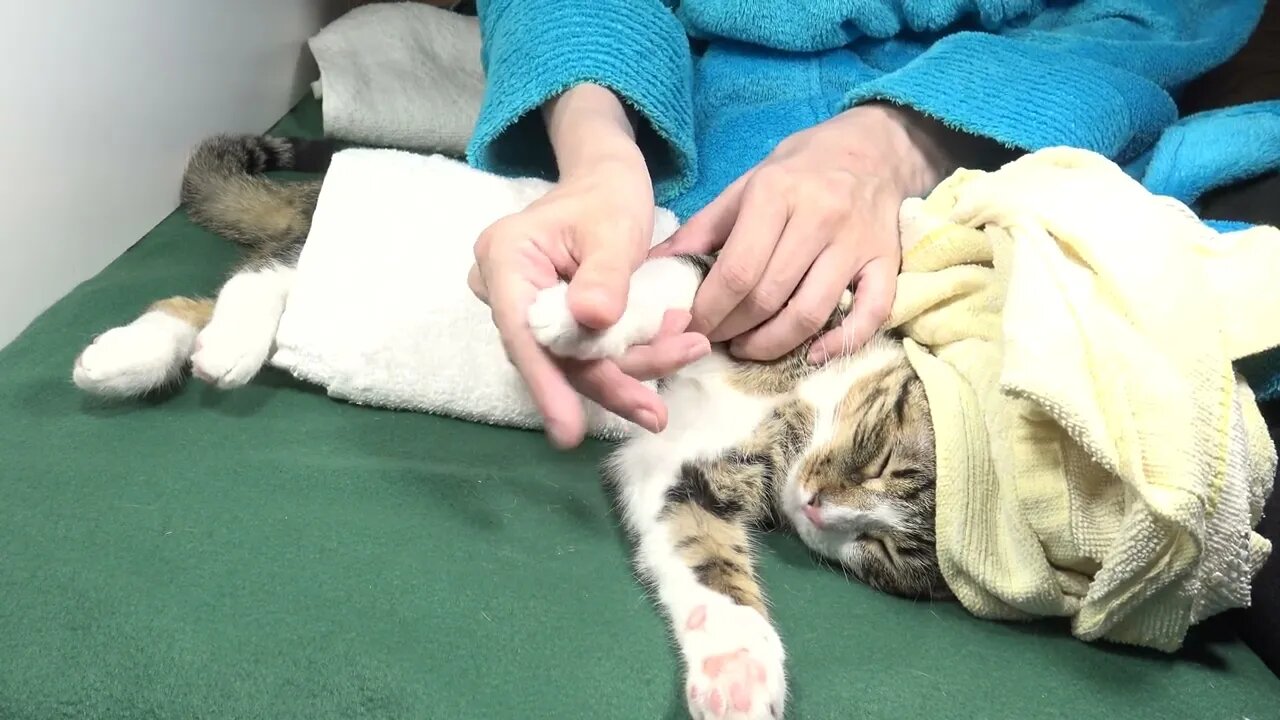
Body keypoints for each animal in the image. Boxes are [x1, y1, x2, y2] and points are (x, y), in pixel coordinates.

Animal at [72, 134, 952, 717]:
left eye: (882, 553)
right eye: (879, 452)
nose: (816, 508)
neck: (785, 409)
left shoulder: (675, 463)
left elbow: (699, 548)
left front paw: (736, 666)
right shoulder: (723, 279)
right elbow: (635, 299)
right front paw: (566, 315)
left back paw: (149, 353)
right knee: (262, 275)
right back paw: (192, 344)